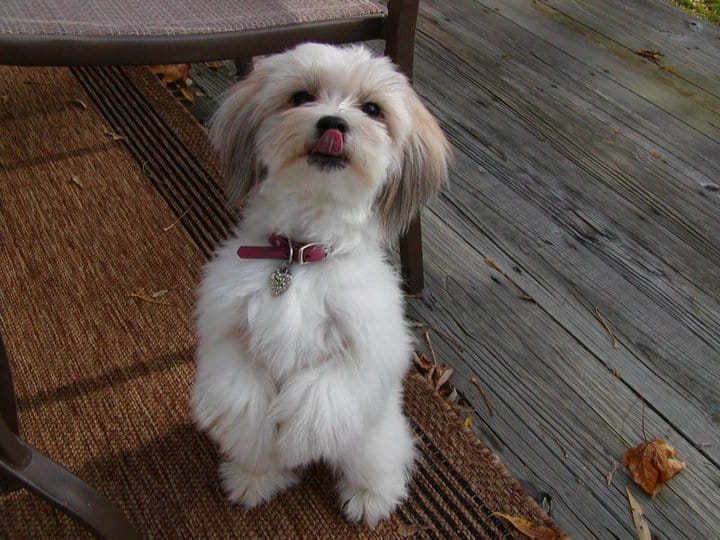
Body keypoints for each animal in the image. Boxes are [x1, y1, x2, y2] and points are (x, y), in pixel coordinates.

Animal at [191, 42, 450, 528]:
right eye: (301, 97)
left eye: (372, 109)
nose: (334, 123)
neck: (300, 256)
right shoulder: (227, 329)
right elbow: (242, 395)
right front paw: (263, 450)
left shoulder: (367, 348)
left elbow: (322, 397)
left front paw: (297, 440)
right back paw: (253, 476)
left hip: (376, 439)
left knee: (382, 461)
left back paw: (370, 497)